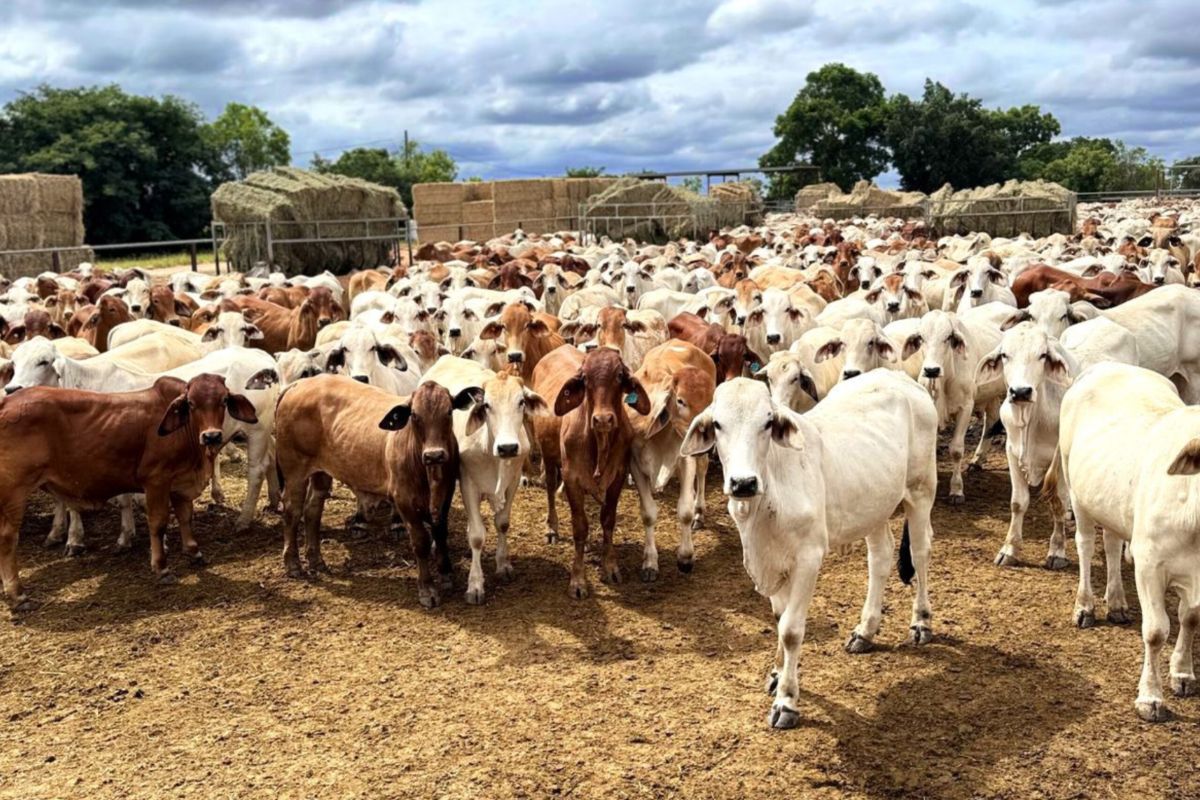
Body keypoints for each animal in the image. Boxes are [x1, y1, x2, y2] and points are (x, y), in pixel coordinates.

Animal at [0, 374, 260, 606]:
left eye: (224, 400)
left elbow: (185, 517)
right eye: (192, 403)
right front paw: (161, 567)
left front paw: (193, 551)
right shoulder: (156, 481)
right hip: (14, 492)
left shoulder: (180, 484)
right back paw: (17, 594)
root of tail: (7, 402)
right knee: (8, 538)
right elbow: (158, 523)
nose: (211, 436)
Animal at [275, 376, 477, 608]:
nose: (434, 455)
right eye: (415, 415)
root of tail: (299, 384)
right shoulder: (404, 499)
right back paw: (293, 564)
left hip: (321, 472)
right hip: (294, 471)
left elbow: (441, 533)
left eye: (449, 412)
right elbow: (421, 542)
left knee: (312, 511)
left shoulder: (446, 494)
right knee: (292, 512)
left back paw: (316, 561)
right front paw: (427, 589)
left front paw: (445, 575)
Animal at [531, 346, 650, 596]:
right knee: (550, 489)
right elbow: (580, 527)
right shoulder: (571, 479)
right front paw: (578, 579)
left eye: (619, 375)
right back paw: (551, 527)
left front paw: (611, 567)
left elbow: (607, 520)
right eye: (585, 379)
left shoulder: (618, 477)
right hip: (548, 456)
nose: (603, 419)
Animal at [680, 371, 938, 728]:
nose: (743, 483)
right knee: (880, 557)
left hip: (921, 489)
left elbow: (790, 629)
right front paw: (777, 673)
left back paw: (922, 622)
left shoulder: (808, 559)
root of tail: (900, 377)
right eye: (717, 423)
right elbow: (779, 617)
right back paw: (866, 630)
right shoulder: (773, 564)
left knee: (920, 550)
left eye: (767, 421)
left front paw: (787, 701)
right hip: (875, 504)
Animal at [1054, 363, 1200, 722]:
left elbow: (1190, 617)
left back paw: (1118, 603)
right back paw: (1086, 607)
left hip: (1112, 504)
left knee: (1110, 543)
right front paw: (1150, 698)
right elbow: (1157, 630)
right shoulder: (1149, 566)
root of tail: (1106, 365)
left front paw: (1183, 673)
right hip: (1076, 490)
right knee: (1086, 544)